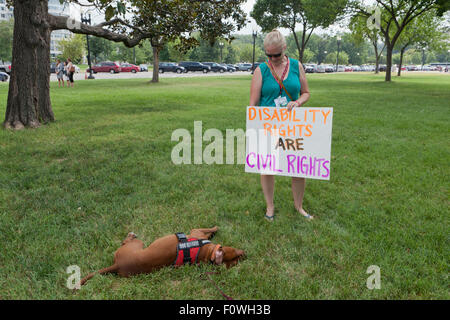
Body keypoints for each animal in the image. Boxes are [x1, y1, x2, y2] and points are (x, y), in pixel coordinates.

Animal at [79, 226, 244, 286]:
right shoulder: (196, 230)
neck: (205, 252)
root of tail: (118, 264)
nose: (245, 254)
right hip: (138, 244)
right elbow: (209, 229)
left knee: (126, 241)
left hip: (137, 244)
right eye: (235, 252)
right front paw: (215, 229)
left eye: (235, 262)